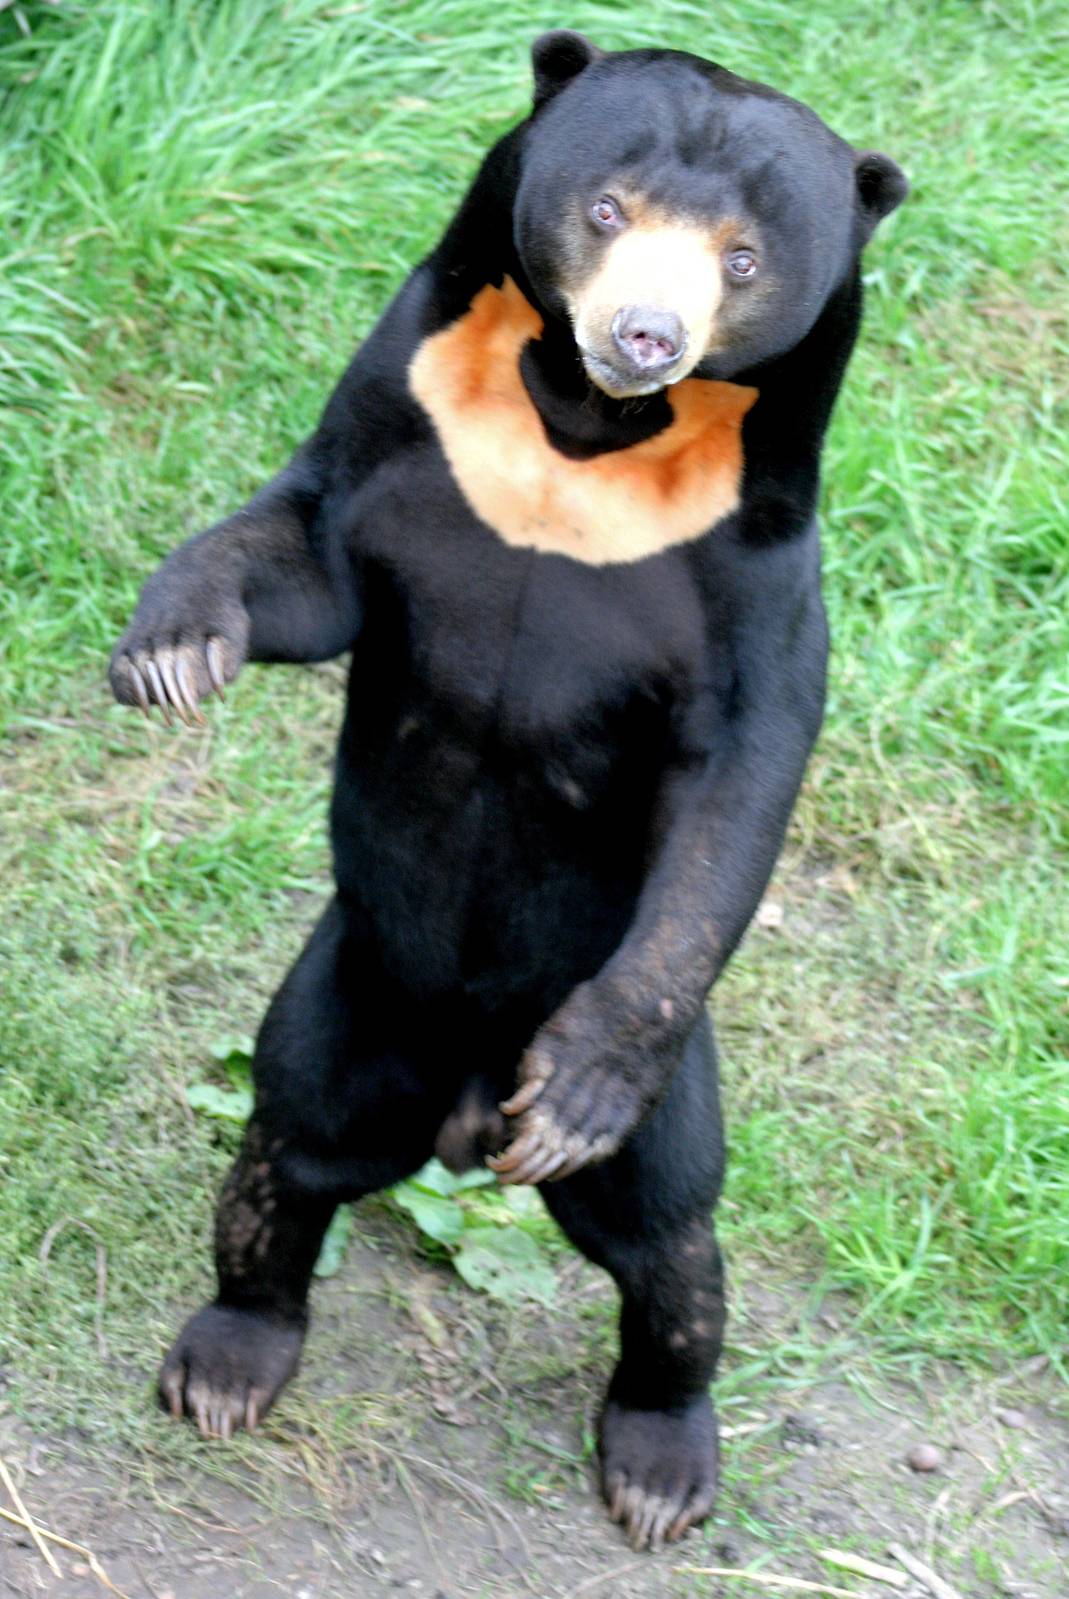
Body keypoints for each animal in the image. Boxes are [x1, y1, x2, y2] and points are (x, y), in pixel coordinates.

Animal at [109, 32, 906, 1552]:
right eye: (604, 210)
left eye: (740, 257)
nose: (644, 334)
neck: (584, 435)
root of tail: (459, 1114)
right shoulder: (403, 431)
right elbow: (297, 557)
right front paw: (170, 653)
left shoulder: (756, 568)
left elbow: (737, 787)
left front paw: (578, 1091)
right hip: (346, 991)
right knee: (285, 1146)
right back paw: (229, 1361)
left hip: (663, 1108)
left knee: (671, 1246)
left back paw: (659, 1462)